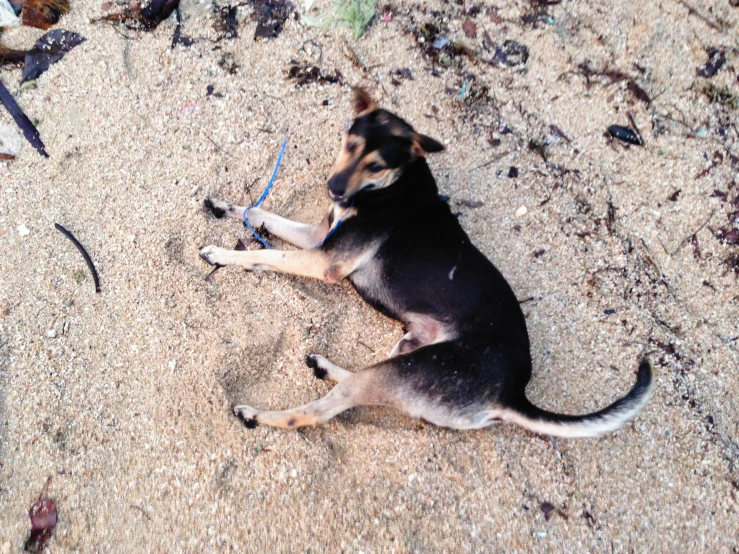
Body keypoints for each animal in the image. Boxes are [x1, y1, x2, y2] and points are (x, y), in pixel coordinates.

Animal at [201, 89, 652, 436]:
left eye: (377, 164)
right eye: (350, 144)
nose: (334, 189)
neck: (393, 185)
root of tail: (511, 393)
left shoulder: (325, 260)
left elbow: (268, 251)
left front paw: (225, 255)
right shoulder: (319, 236)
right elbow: (263, 216)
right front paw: (227, 208)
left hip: (409, 368)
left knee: (320, 410)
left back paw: (257, 413)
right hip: (408, 348)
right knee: (370, 380)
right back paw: (324, 366)